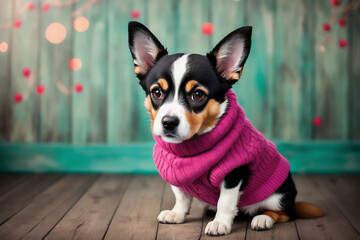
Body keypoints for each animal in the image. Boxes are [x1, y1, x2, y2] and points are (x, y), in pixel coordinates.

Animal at [127, 21, 324, 235]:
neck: (191, 146)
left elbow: (226, 201)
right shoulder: (177, 176)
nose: (168, 122)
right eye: (156, 92)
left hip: (278, 197)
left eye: (198, 95)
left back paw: (263, 218)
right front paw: (177, 213)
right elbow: (181, 195)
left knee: (285, 214)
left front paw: (220, 223)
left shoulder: (233, 173)